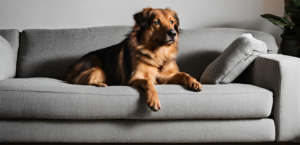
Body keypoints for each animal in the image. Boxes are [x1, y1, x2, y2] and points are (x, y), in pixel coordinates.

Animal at [65, 7, 202, 112]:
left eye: (172, 21)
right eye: (156, 22)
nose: (173, 33)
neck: (158, 54)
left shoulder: (166, 77)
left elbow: (183, 74)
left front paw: (194, 82)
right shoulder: (135, 78)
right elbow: (148, 81)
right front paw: (154, 100)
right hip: (99, 70)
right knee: (84, 82)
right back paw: (100, 84)